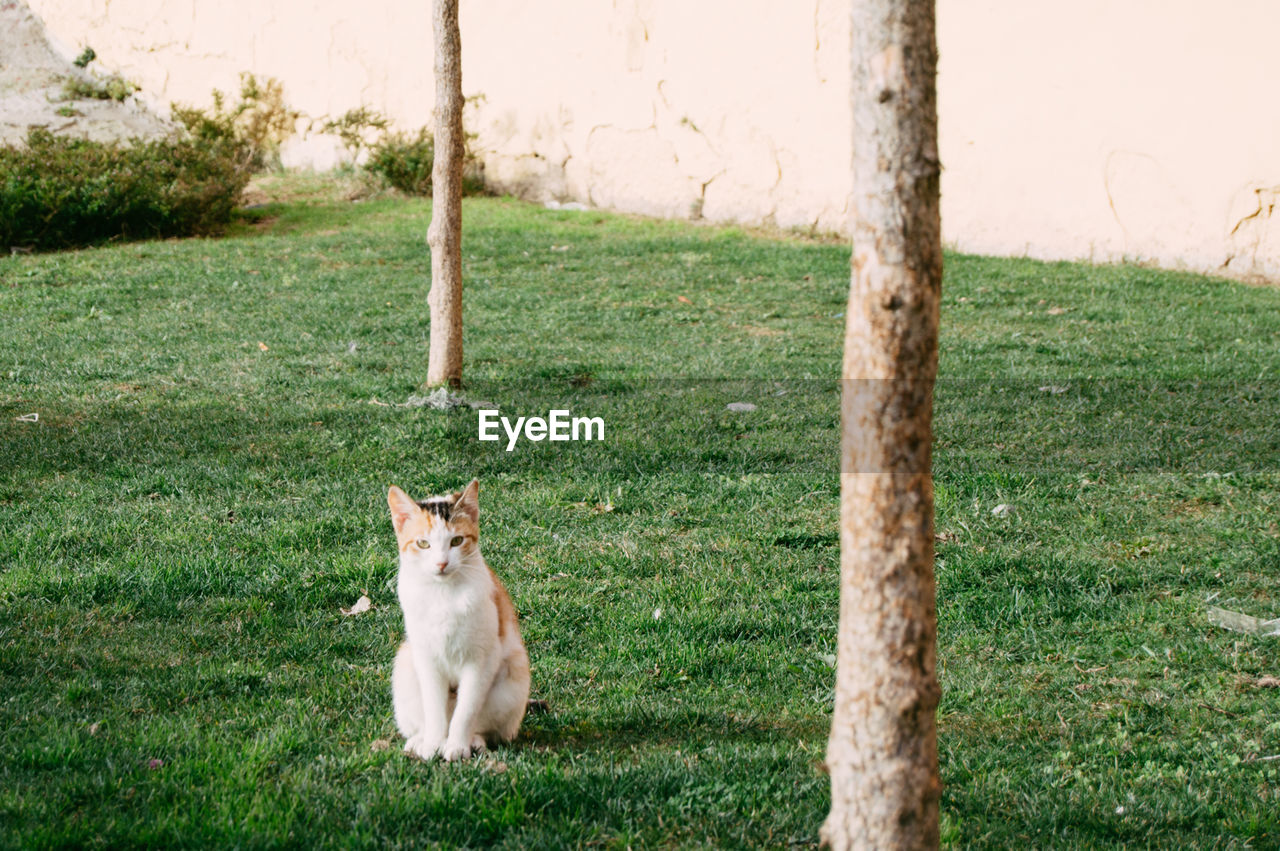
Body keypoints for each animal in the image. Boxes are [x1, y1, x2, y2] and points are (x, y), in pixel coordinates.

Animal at [386, 478, 532, 762]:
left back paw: (473, 741)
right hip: (405, 662)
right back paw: (420, 740)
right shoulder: (426, 658)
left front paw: (456, 746)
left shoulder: (481, 660)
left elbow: (467, 711)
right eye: (423, 544)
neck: (443, 594)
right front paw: (432, 744)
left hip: (513, 674)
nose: (442, 563)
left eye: (456, 540)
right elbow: (433, 707)